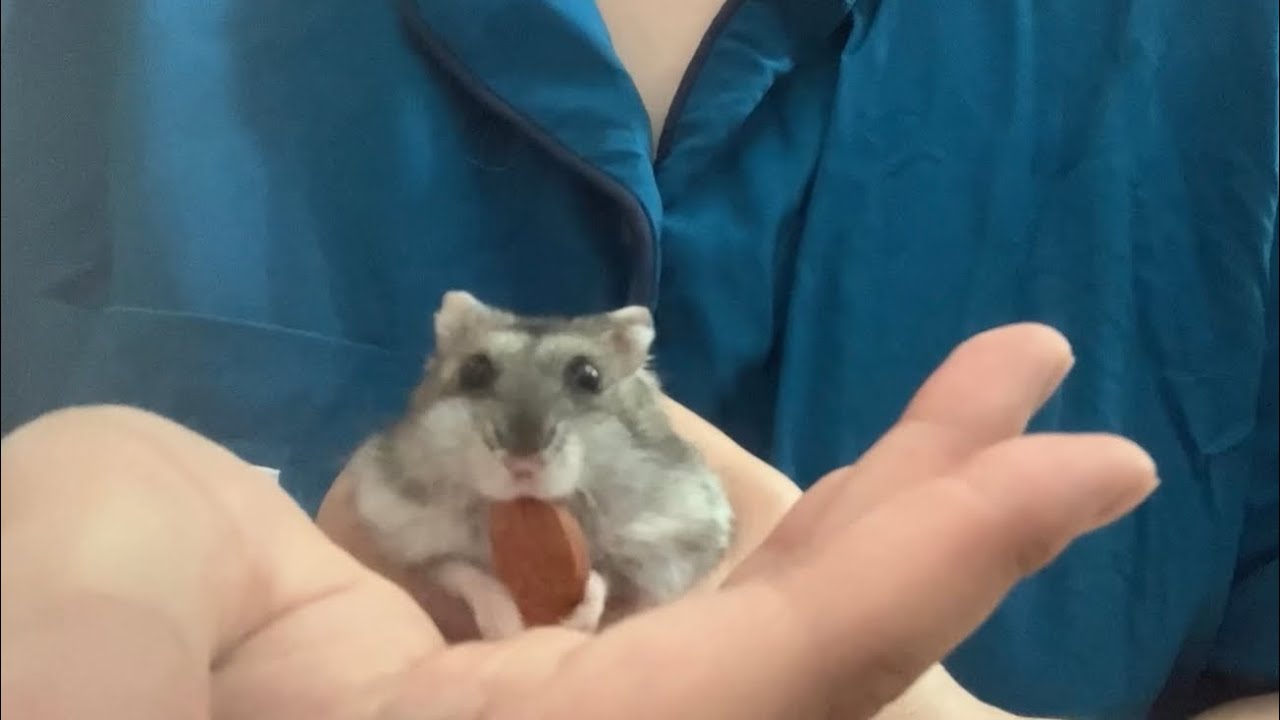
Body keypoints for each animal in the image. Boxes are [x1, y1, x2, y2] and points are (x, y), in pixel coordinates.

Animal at [348, 290, 735, 639]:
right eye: (474, 370)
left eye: (588, 376)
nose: (522, 462)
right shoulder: (408, 535)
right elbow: (461, 571)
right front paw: (506, 627)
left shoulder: (670, 540)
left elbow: (604, 578)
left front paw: (575, 619)